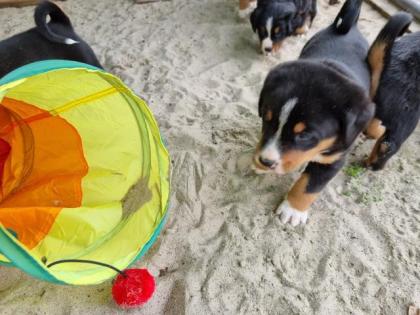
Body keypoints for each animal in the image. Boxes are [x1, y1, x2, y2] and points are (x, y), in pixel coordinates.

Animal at [253, 0, 374, 227]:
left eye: (305, 135)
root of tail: (344, 29)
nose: (266, 161)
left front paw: (292, 209)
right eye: (266, 118)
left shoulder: (335, 159)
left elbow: (309, 185)